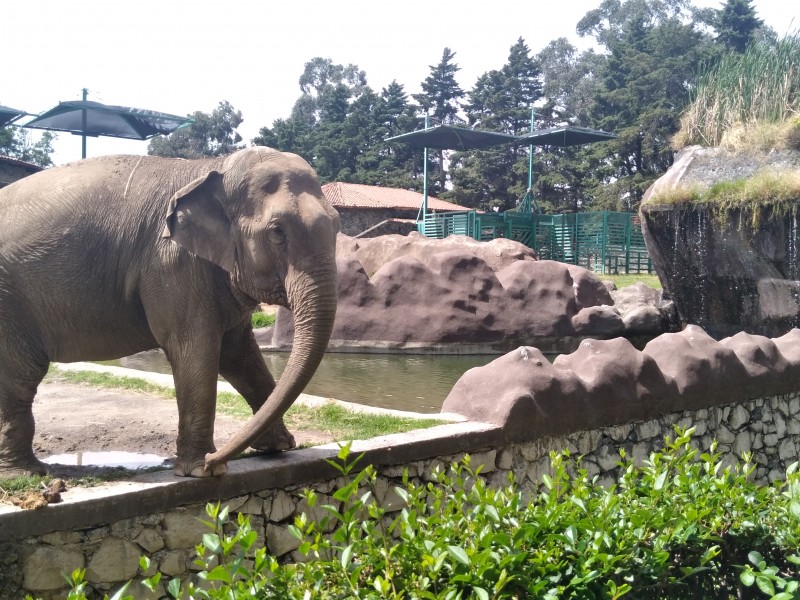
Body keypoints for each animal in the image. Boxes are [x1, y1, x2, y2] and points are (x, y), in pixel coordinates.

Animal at [0, 146, 340, 478]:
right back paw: (26, 474)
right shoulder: (171, 264)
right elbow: (195, 349)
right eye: (277, 231)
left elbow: (239, 353)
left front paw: (279, 448)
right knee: (21, 376)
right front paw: (200, 471)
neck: (215, 167)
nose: (215, 459)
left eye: (337, 224)